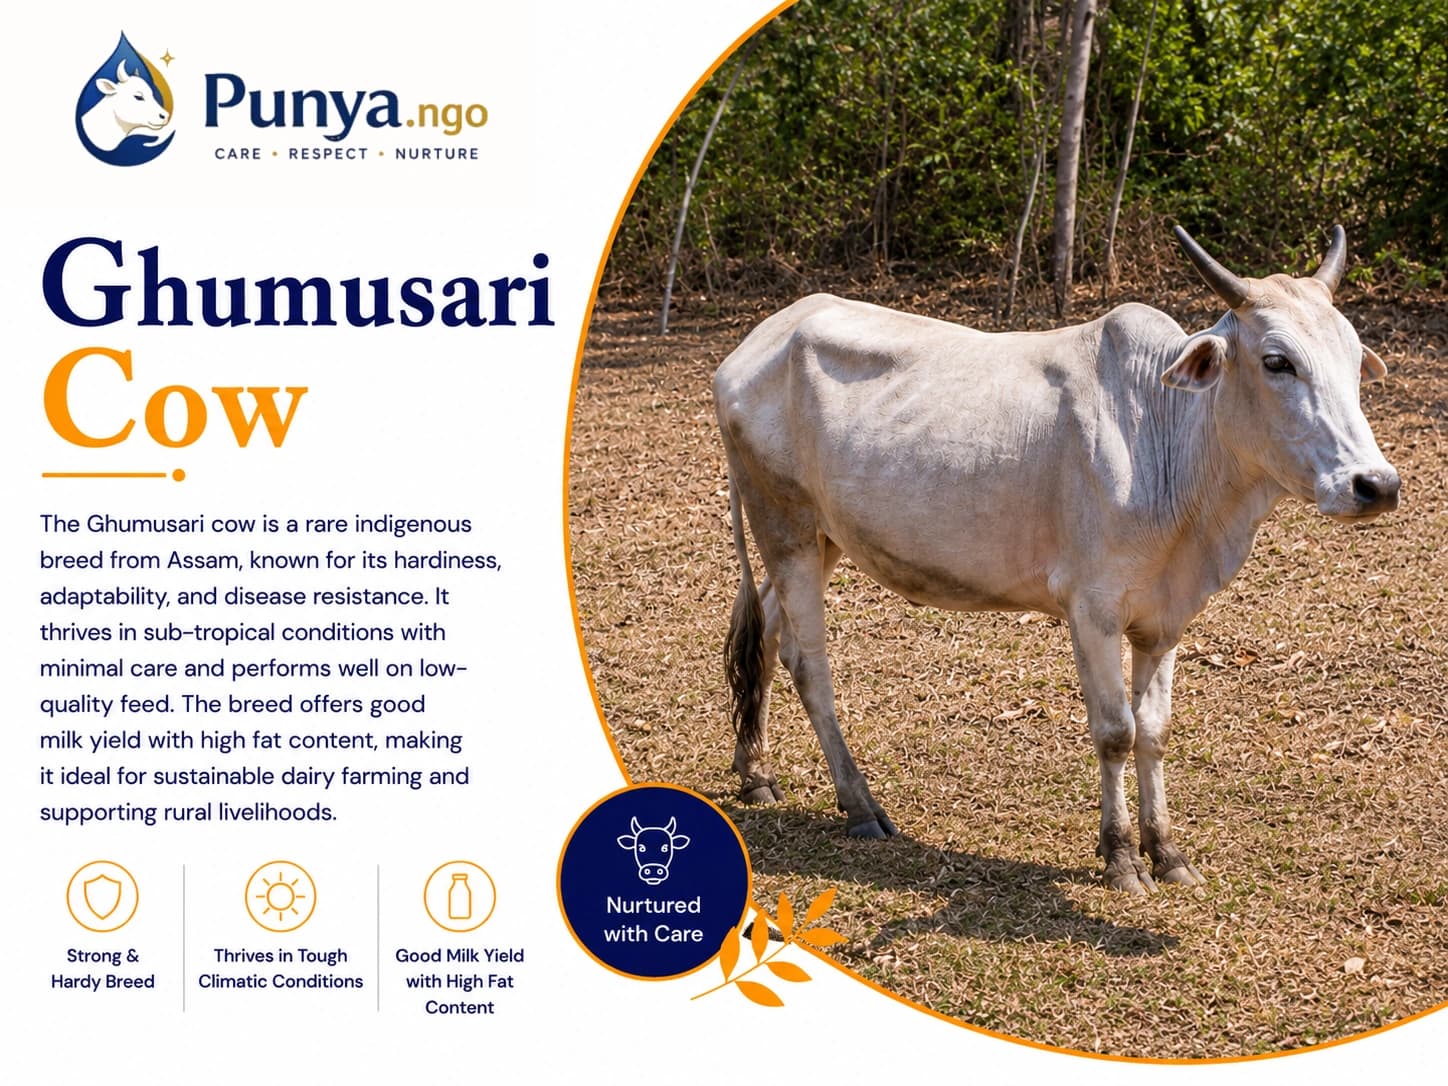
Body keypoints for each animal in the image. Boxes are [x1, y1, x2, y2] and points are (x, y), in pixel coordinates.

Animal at [714, 226, 1398, 893]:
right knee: (809, 662)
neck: (1167, 437)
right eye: (1277, 361)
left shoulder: (1165, 619)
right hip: (785, 526)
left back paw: (755, 772)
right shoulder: (1091, 610)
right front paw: (1121, 857)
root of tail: (756, 342)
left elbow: (1153, 730)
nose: (1376, 485)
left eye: (1353, 358)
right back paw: (860, 805)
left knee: (768, 633)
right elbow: (1116, 730)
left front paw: (1167, 852)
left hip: (817, 539)